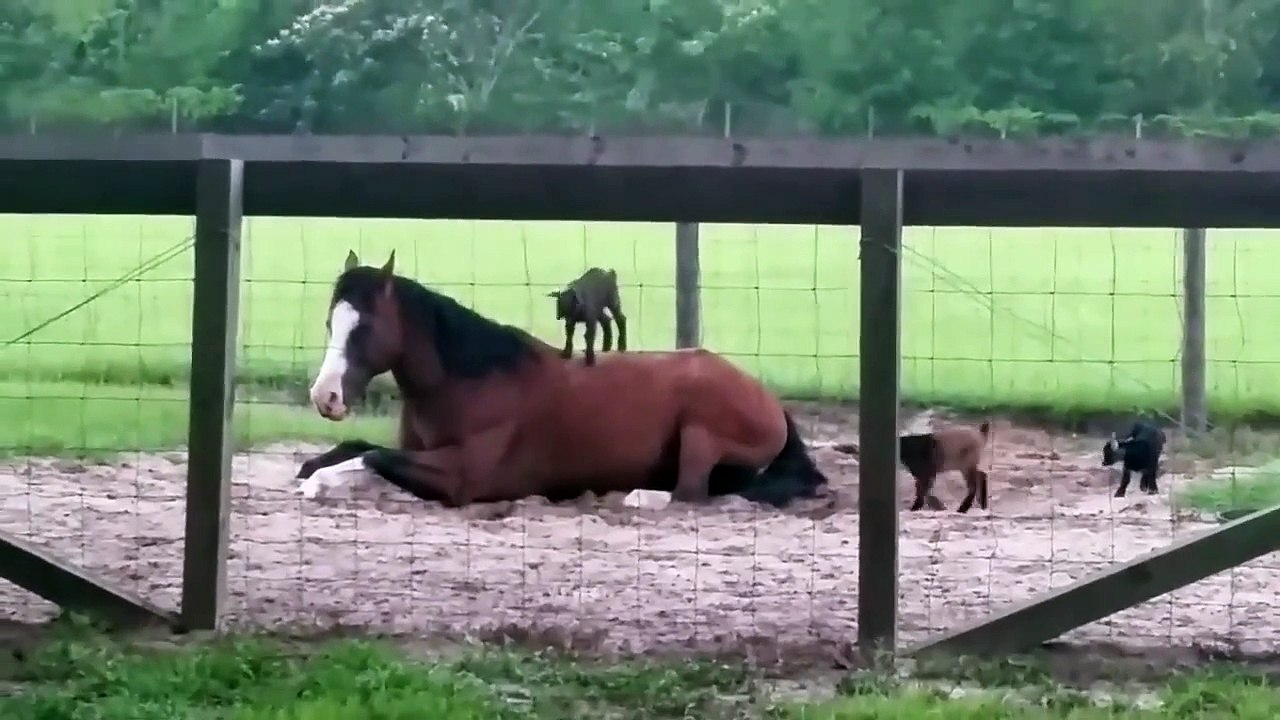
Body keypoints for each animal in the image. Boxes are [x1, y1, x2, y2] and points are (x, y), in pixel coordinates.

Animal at [295, 250, 829, 509]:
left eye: (365, 326)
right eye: (329, 323)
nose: (326, 397)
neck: (474, 381)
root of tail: (768, 400)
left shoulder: (462, 477)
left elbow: (371, 456)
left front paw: (319, 483)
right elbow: (356, 448)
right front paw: (313, 469)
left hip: (701, 430)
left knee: (691, 493)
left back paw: (635, 496)